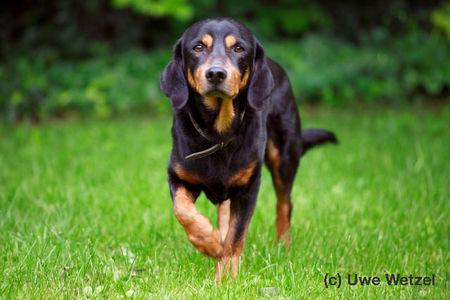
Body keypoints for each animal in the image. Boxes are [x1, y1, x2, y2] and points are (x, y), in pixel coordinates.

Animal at [160, 17, 336, 282]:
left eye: (239, 48)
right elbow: (183, 211)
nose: (216, 73)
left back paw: (283, 246)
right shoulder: (179, 176)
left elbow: (235, 237)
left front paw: (226, 278)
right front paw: (209, 242)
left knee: (284, 204)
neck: (218, 133)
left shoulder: (248, 187)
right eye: (198, 47)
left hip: (283, 156)